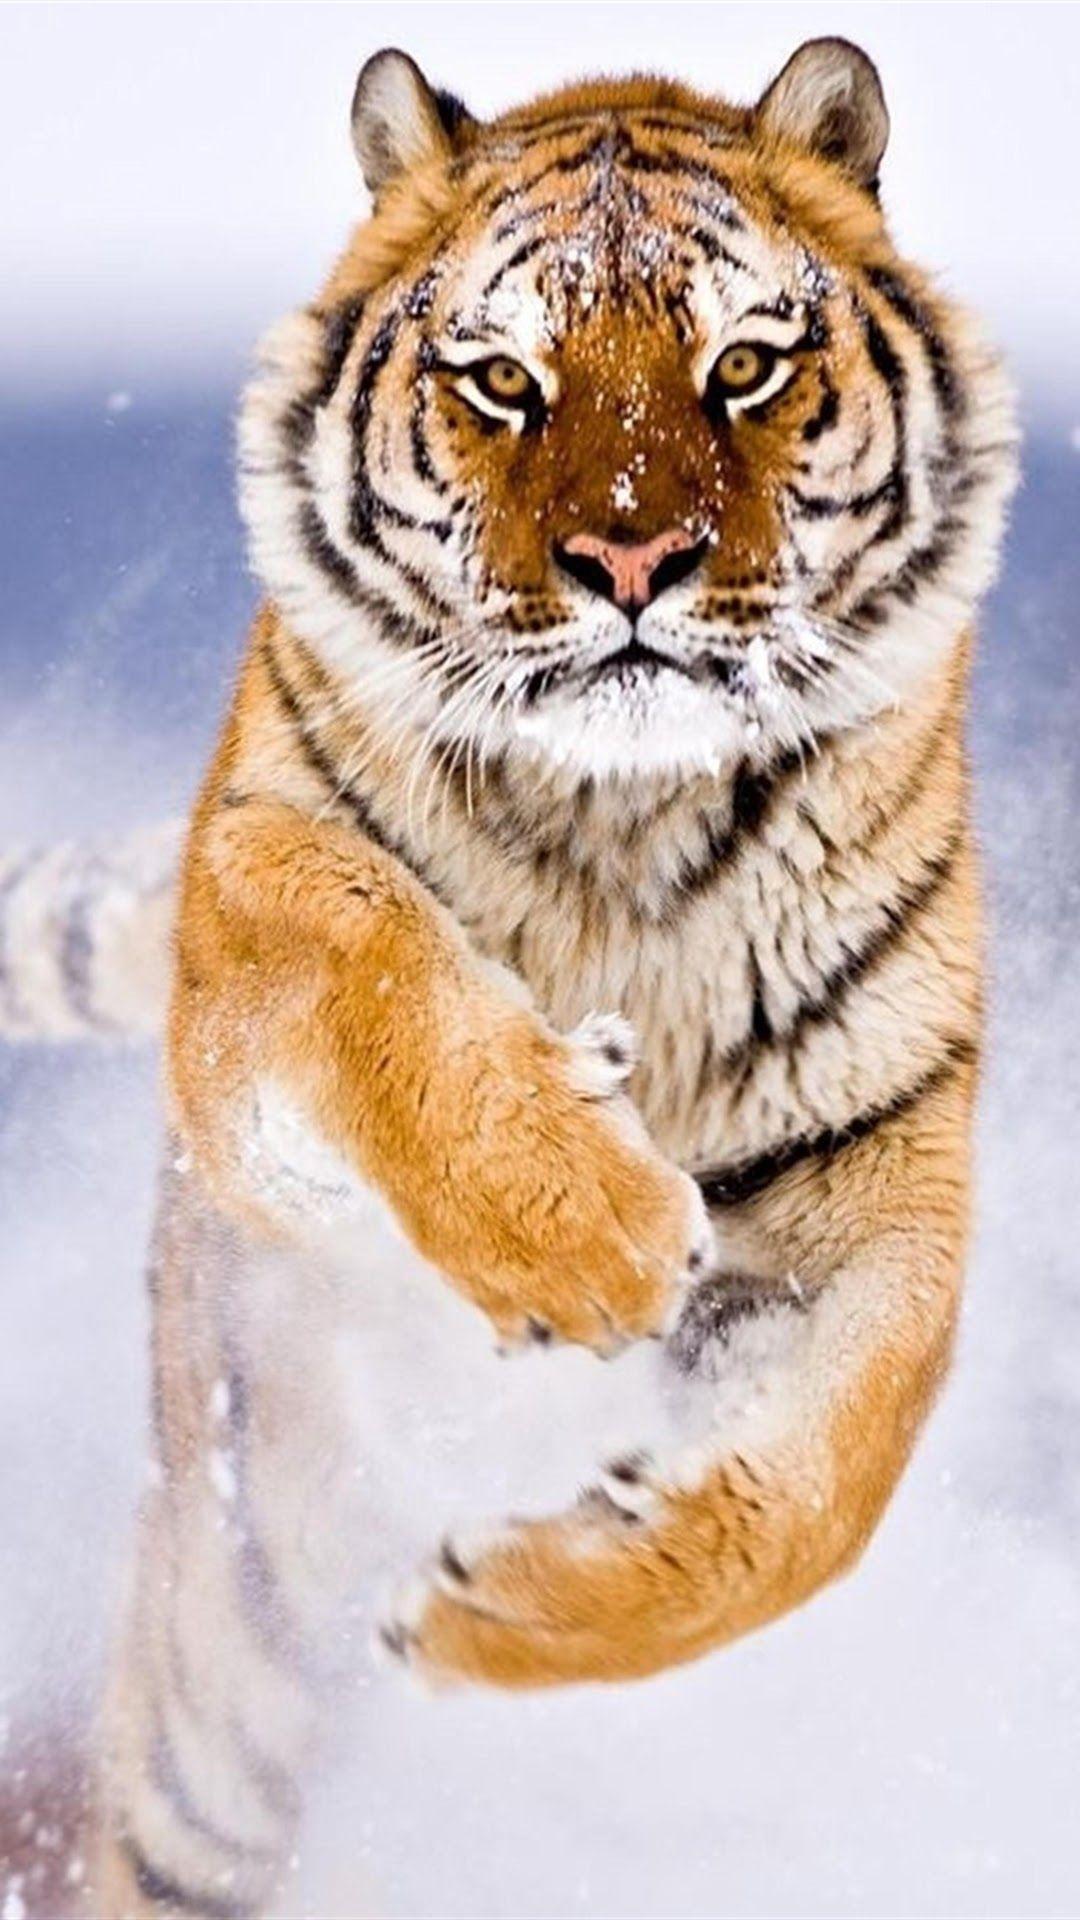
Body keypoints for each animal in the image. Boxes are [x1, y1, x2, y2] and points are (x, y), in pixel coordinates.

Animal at [1, 34, 1018, 1919]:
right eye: (500, 380)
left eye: (744, 364)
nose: (630, 563)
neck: (628, 817)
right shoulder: (243, 941)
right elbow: (364, 938)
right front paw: (587, 1226)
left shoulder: (877, 1169)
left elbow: (825, 1487)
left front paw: (504, 1611)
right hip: (219, 1697)